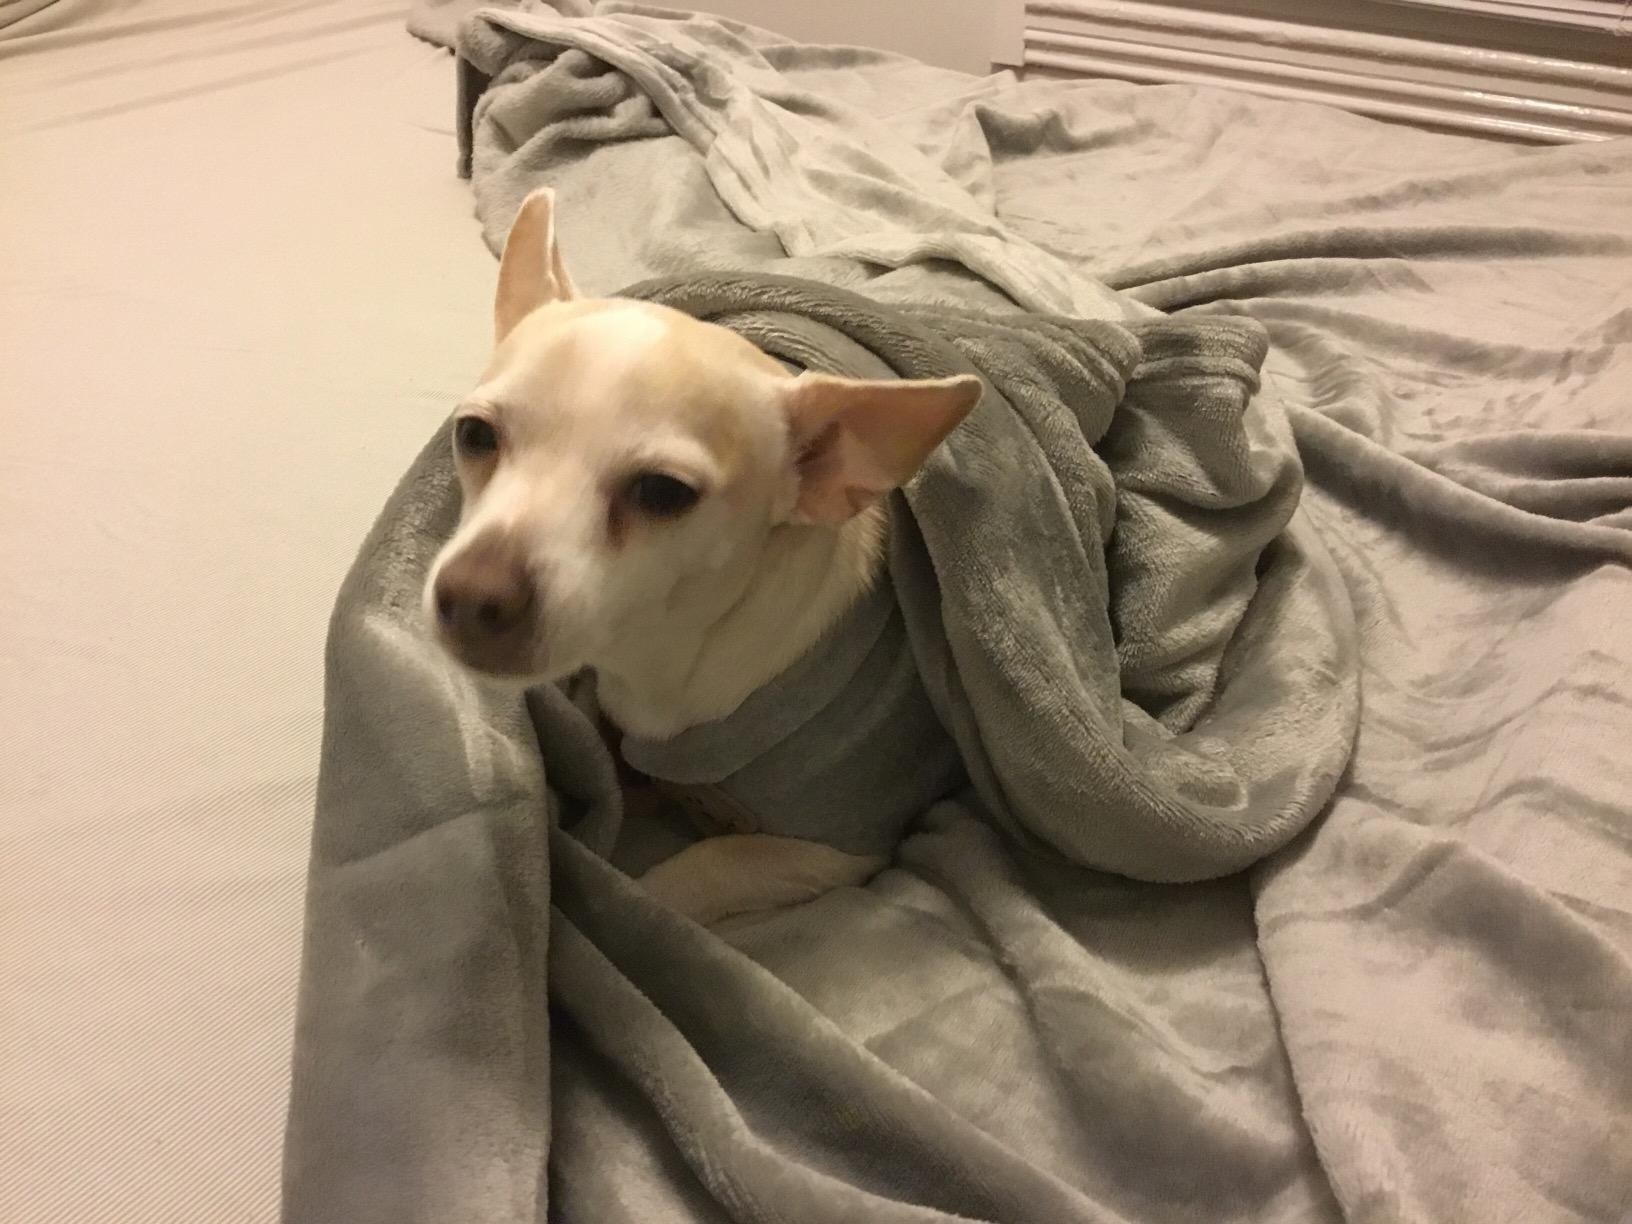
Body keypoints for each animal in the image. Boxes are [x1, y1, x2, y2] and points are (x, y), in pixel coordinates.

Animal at [287, 270, 1357, 1224]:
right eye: (475, 438)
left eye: (662, 494)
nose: (472, 595)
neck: (669, 663)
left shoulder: (829, 844)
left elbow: (681, 878)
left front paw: (615, 908)